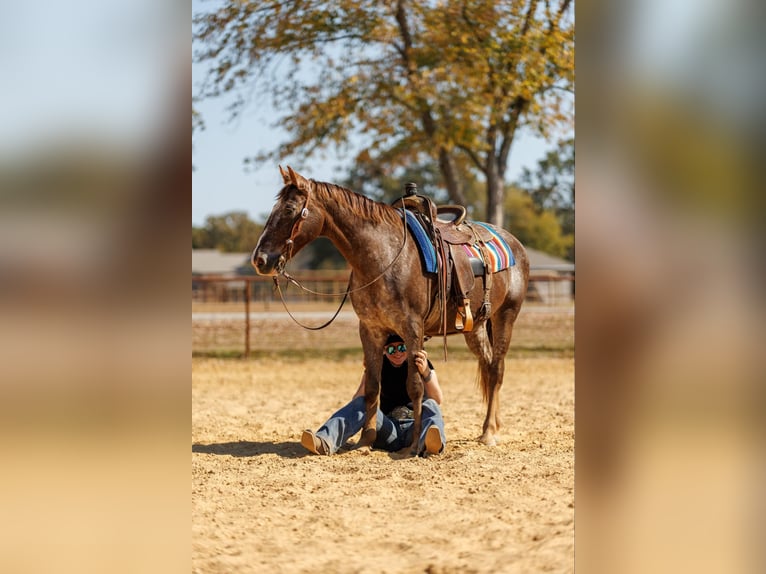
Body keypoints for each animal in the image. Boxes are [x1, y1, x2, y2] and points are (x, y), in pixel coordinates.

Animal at [252, 166, 529, 453]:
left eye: (289, 209)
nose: (260, 259)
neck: (384, 255)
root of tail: (513, 243)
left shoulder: (412, 327)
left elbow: (415, 386)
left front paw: (414, 445)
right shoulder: (370, 329)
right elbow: (373, 387)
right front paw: (366, 441)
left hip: (505, 316)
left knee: (496, 369)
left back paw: (488, 433)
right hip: (475, 327)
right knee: (487, 364)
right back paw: (493, 425)